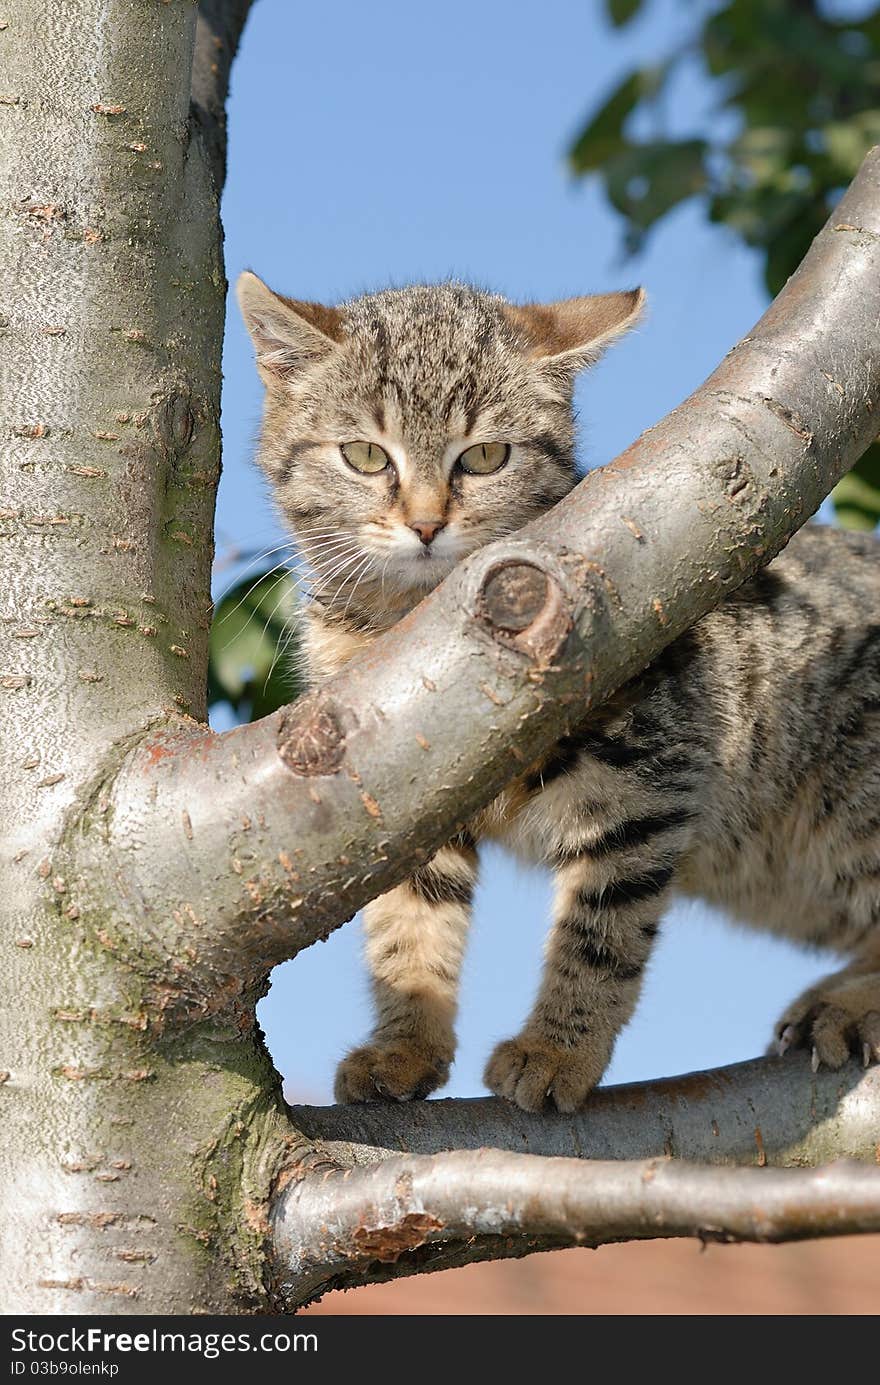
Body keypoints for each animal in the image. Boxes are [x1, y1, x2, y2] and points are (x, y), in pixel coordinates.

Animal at [236, 270, 880, 1113]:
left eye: (485, 455)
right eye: (364, 455)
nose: (425, 525)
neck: (415, 624)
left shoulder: (647, 774)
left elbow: (602, 927)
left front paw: (557, 1048)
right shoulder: (403, 799)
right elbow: (409, 921)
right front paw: (405, 1044)